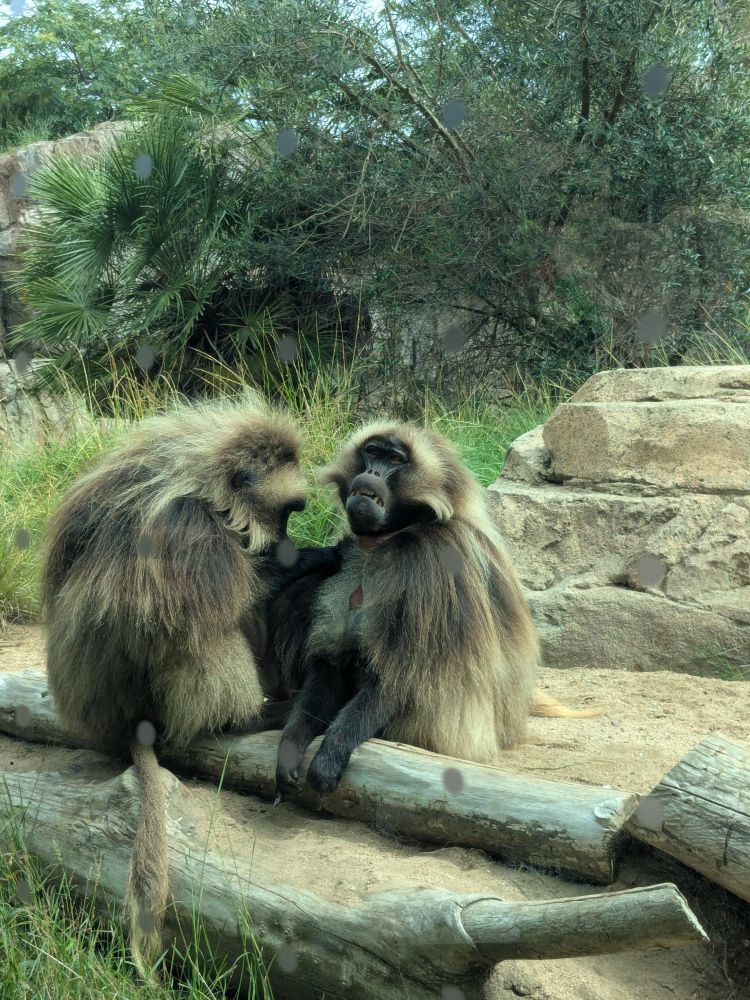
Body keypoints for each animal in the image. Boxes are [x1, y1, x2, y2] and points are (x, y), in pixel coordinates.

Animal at [40, 393, 339, 977]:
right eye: (287, 514)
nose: (290, 544)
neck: (206, 487)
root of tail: (121, 725)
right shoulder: (186, 523)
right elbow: (191, 604)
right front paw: (321, 557)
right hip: (150, 698)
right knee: (196, 619)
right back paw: (245, 716)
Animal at [269, 421, 598, 802]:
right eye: (372, 452)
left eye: (395, 459)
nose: (372, 473)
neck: (391, 538)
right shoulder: (346, 555)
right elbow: (329, 670)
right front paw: (291, 747)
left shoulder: (430, 564)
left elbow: (397, 679)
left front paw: (330, 755)